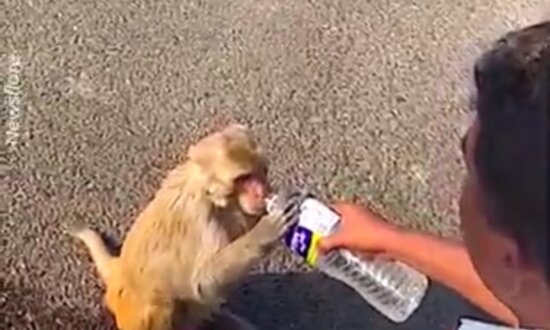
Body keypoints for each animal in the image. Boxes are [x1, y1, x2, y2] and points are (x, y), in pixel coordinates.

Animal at [73, 125, 300, 330]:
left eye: (261, 172)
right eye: (243, 178)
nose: (262, 192)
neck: (212, 195)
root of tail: (118, 270)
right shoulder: (201, 216)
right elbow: (201, 283)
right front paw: (267, 229)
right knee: (163, 301)